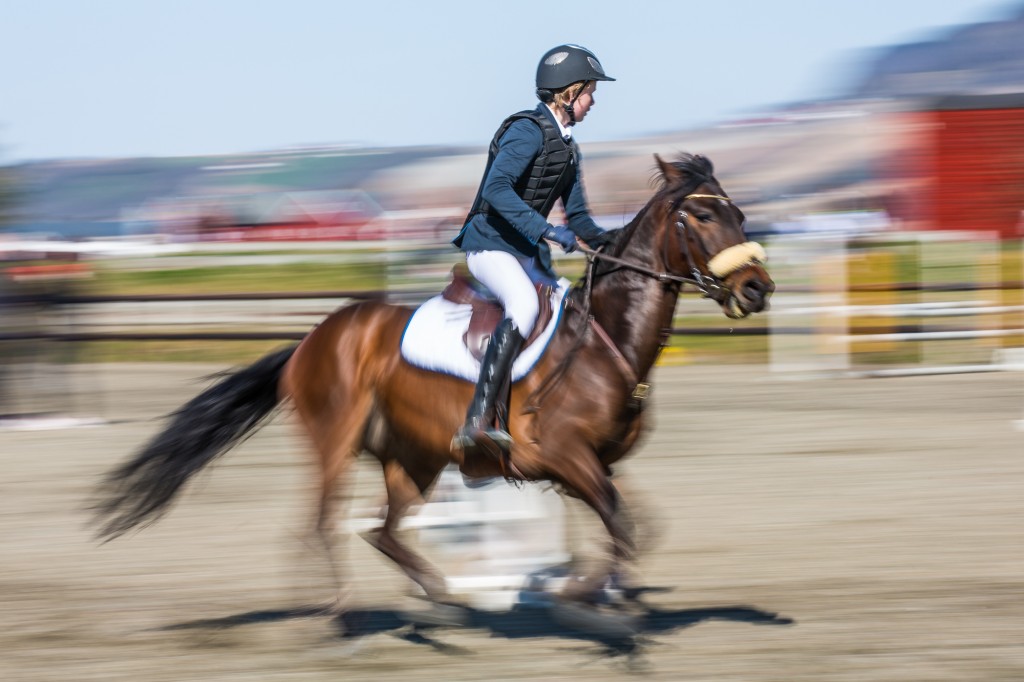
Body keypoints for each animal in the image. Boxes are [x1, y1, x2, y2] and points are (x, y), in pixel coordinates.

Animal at [94, 152, 774, 614]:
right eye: (703, 214)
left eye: (740, 213)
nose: (758, 289)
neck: (605, 341)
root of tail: (312, 338)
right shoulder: (565, 456)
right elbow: (623, 525)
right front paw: (584, 595)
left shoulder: (591, 464)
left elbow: (632, 527)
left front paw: (597, 593)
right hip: (336, 443)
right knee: (322, 526)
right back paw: (339, 618)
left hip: (412, 457)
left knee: (382, 530)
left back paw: (442, 598)